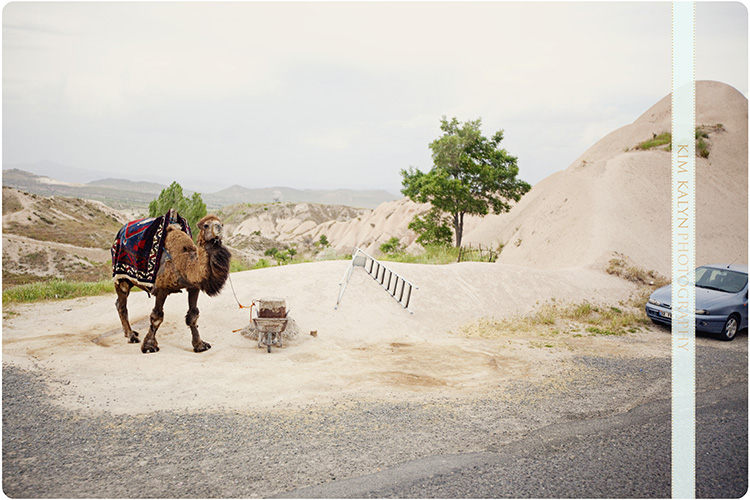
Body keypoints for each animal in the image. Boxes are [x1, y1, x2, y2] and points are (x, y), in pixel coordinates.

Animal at [114, 213, 232, 354]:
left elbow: (193, 316)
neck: (184, 263)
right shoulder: (162, 288)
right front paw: (149, 346)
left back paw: (129, 333)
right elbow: (157, 317)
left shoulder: (193, 287)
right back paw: (131, 336)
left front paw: (200, 345)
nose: (219, 228)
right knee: (122, 304)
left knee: (118, 303)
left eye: (222, 223)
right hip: (122, 278)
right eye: (206, 225)